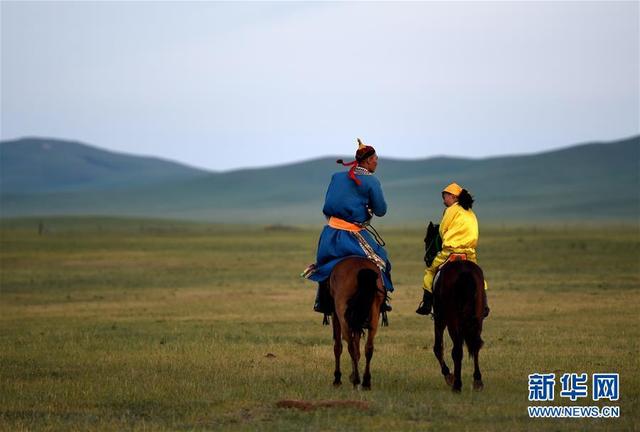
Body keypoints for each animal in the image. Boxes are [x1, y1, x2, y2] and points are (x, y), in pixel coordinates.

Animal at [330, 255, 384, 390]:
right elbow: (358, 345)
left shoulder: (336, 314)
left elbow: (338, 347)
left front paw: (337, 379)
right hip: (374, 314)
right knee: (369, 347)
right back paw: (366, 382)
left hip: (343, 315)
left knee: (350, 347)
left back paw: (356, 380)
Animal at [432, 258, 488, 394]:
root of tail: (464, 272)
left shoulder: (439, 319)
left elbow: (437, 348)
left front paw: (449, 376)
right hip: (477, 319)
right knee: (476, 345)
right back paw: (477, 381)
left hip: (451, 319)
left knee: (457, 350)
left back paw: (457, 385)